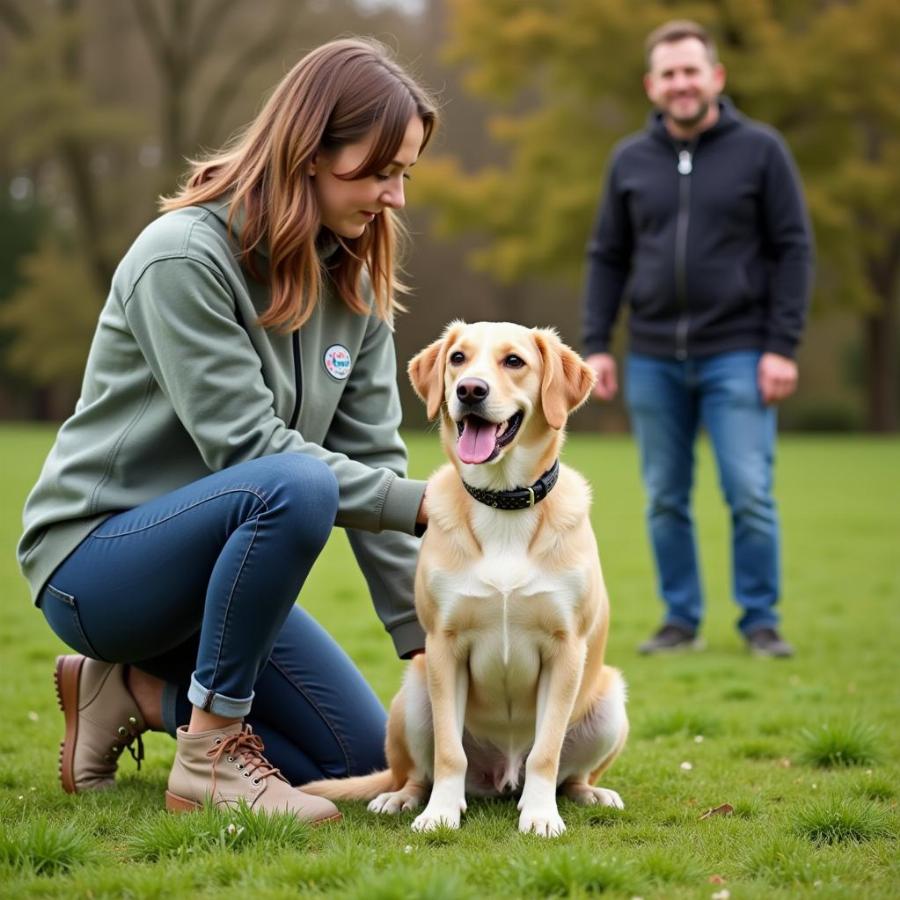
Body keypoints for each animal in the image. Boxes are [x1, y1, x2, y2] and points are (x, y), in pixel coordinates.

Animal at [302, 324, 624, 836]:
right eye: (458, 358)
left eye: (514, 361)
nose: (470, 390)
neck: (503, 502)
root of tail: (502, 777)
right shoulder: (444, 647)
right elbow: (449, 753)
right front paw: (440, 813)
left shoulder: (566, 650)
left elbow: (546, 752)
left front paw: (540, 815)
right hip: (414, 694)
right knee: (419, 771)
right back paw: (402, 798)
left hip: (611, 698)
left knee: (568, 775)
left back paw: (589, 793)